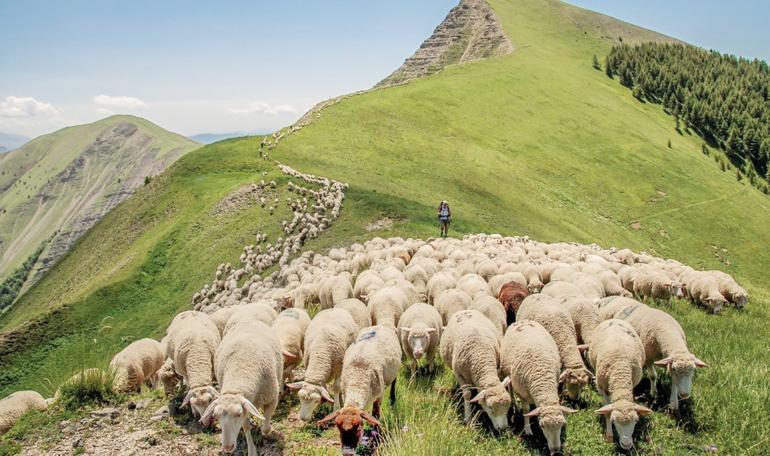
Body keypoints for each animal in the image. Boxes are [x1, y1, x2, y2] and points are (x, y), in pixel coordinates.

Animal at [200, 320, 284, 456]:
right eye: (216, 415)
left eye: (238, 414)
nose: (228, 447)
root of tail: (248, 320)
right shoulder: (246, 405)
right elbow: (246, 427)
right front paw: (252, 450)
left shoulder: (271, 400)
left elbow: (265, 428)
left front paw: (270, 433)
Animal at [318, 324, 402, 452]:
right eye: (338, 427)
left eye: (358, 426)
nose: (347, 452)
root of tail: (380, 325)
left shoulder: (379, 395)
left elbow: (375, 415)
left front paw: (375, 436)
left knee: (394, 382)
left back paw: (392, 399)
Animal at [500, 320, 572, 456]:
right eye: (542, 426)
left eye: (562, 424)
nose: (555, 450)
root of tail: (522, 321)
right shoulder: (523, 394)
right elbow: (526, 410)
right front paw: (527, 429)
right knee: (510, 387)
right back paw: (514, 403)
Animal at [588, 318, 648, 450]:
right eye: (614, 421)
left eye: (636, 421)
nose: (626, 445)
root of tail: (613, 319)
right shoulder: (602, 388)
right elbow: (606, 412)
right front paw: (609, 436)